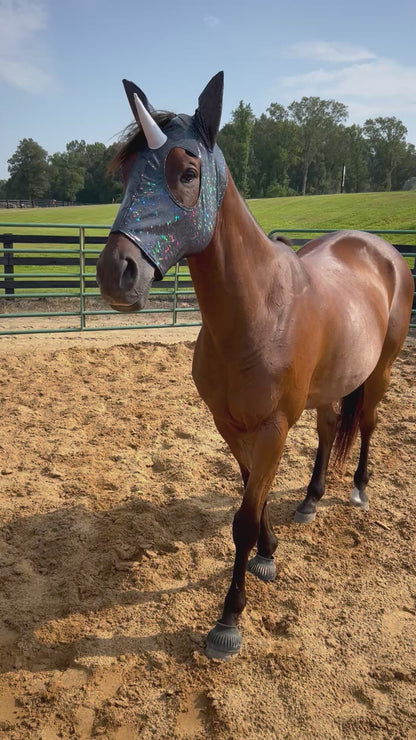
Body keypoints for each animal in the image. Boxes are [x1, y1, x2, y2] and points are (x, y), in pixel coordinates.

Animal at [96, 72, 414, 660]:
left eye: (188, 172)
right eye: (127, 175)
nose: (115, 273)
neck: (259, 312)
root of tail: (382, 251)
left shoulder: (272, 428)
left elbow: (244, 518)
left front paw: (228, 619)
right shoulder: (231, 424)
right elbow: (254, 497)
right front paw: (270, 552)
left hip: (380, 370)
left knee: (367, 423)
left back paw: (358, 489)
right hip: (328, 387)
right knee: (330, 427)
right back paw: (310, 501)